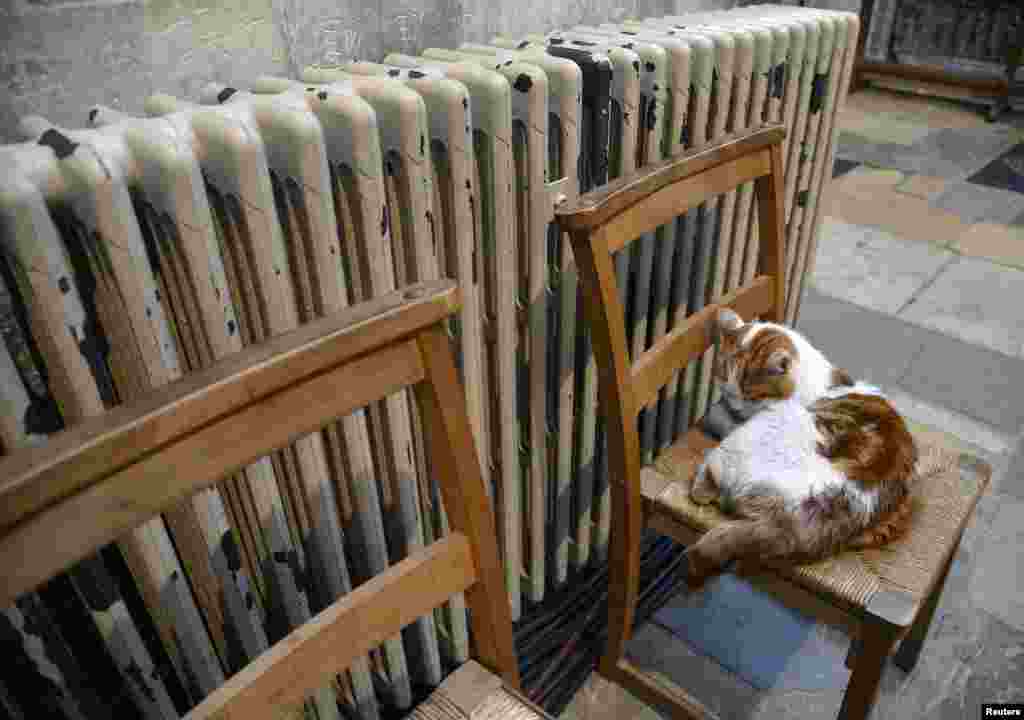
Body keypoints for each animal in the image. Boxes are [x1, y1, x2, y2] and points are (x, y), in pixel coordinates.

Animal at [684, 307, 917, 589]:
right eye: (725, 388)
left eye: (751, 395)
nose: (735, 406)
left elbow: (715, 416)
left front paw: (716, 416)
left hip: (751, 438)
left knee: (707, 478)